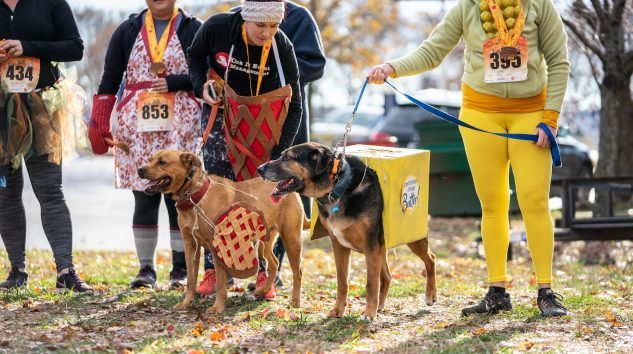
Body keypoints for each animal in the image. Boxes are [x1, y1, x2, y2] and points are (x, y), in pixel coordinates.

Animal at [139, 149, 306, 312]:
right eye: (150, 159)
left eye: (162, 162)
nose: (139, 169)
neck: (195, 196)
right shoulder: (190, 245)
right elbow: (191, 280)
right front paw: (187, 303)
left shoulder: (218, 246)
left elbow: (220, 282)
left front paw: (217, 307)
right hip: (263, 243)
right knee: (274, 264)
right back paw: (261, 290)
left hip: (291, 239)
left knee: (297, 272)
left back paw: (295, 301)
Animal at [256, 142, 434, 320]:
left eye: (287, 157)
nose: (259, 169)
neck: (338, 186)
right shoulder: (340, 246)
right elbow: (342, 281)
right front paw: (338, 310)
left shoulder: (371, 247)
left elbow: (371, 284)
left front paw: (369, 313)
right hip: (381, 246)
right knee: (387, 276)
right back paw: (380, 305)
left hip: (412, 238)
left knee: (430, 259)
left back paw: (430, 296)